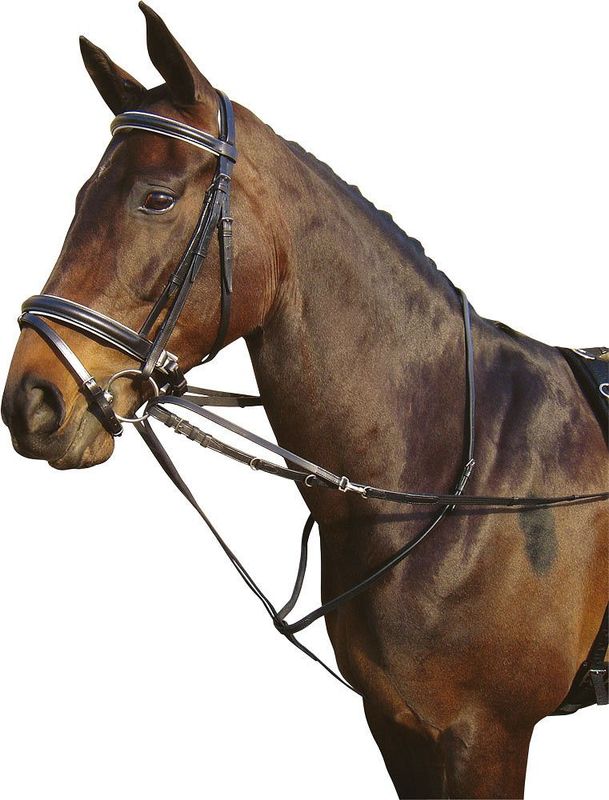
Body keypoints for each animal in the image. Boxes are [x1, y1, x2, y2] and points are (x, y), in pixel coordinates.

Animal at [2, 5, 607, 798]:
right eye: (78, 199)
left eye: (156, 198)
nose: (32, 400)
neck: (454, 475)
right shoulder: (399, 729)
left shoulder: (488, 737)